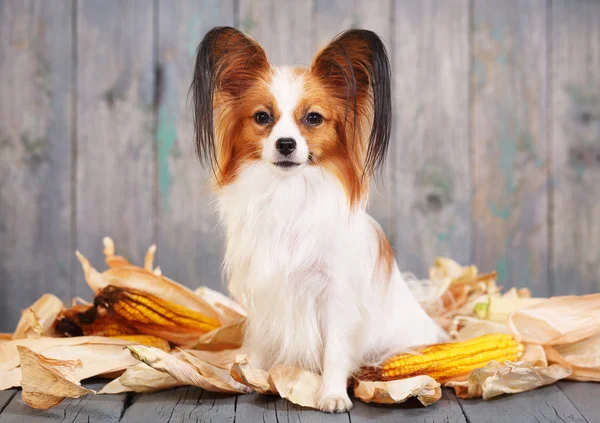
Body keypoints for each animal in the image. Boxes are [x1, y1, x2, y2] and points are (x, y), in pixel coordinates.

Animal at [192, 27, 446, 414]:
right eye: (262, 117)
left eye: (313, 118)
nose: (285, 144)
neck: (289, 192)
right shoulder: (265, 290)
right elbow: (262, 344)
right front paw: (250, 376)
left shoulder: (335, 296)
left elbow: (335, 352)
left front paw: (333, 395)